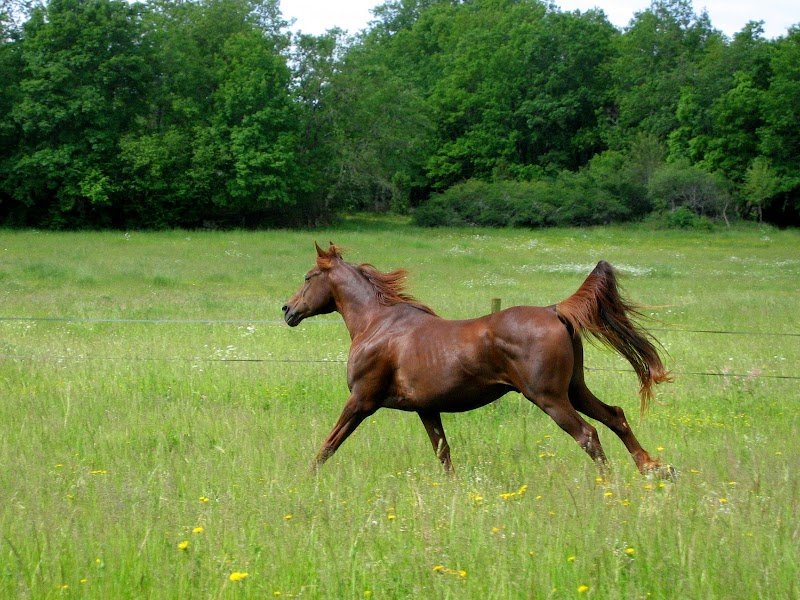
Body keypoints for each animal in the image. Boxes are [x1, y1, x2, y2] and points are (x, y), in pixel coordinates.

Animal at [282, 243, 672, 476]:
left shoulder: (361, 400)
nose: (287, 310)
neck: (377, 324)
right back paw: (653, 468)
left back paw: (610, 485)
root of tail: (554, 311)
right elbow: (444, 454)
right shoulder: (427, 408)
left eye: (308, 277)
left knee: (589, 433)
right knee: (615, 416)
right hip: (574, 389)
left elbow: (329, 445)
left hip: (549, 397)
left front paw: (305, 478)